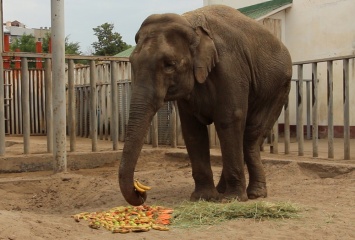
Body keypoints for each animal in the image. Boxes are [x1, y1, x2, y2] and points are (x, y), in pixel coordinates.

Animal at [119, 4, 292, 206]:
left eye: (169, 65)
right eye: (132, 63)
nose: (142, 192)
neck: (190, 23)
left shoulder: (230, 67)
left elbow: (229, 119)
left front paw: (232, 199)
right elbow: (193, 130)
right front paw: (204, 198)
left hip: (278, 89)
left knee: (250, 135)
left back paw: (254, 194)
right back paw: (223, 190)